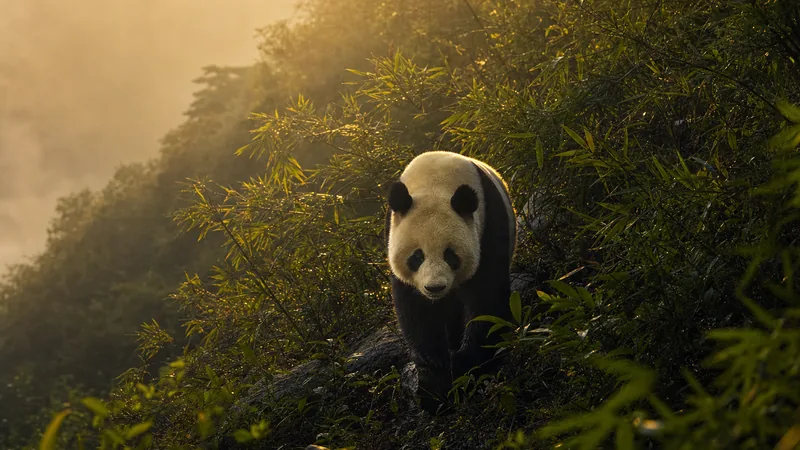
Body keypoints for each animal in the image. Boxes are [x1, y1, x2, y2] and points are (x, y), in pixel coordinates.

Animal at [385, 151, 516, 405]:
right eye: (417, 256)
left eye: (450, 255)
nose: (434, 287)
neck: (436, 180)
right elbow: (415, 308)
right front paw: (436, 369)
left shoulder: (488, 223)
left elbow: (487, 295)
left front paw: (466, 361)